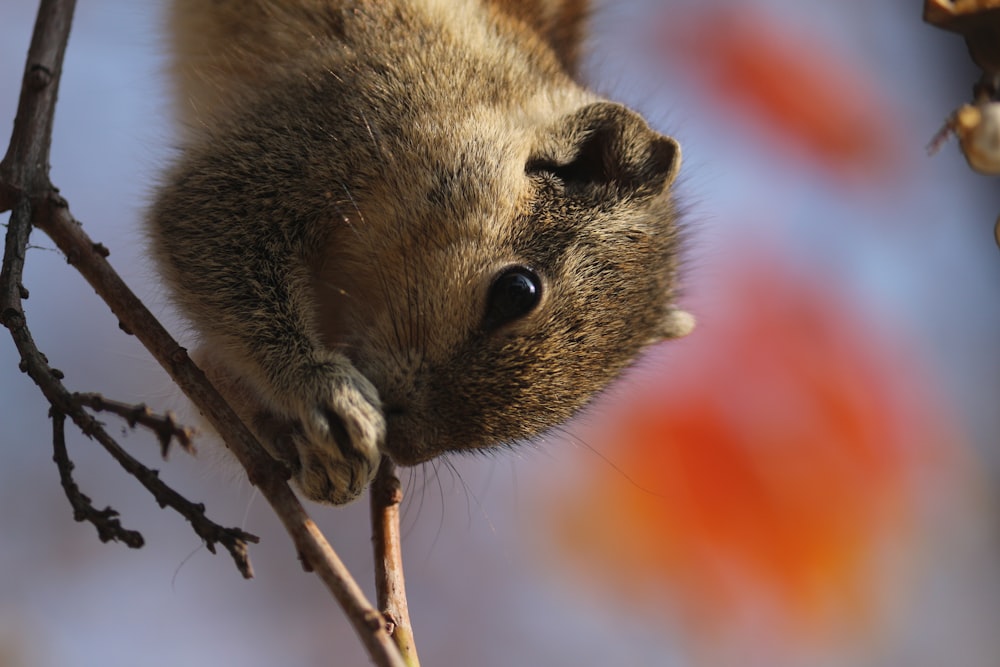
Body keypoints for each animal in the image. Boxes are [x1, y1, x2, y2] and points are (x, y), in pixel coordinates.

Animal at [150, 0, 696, 500]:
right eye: (516, 291)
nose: (406, 446)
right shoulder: (339, 119)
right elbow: (199, 223)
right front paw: (323, 392)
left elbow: (215, 367)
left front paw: (305, 451)